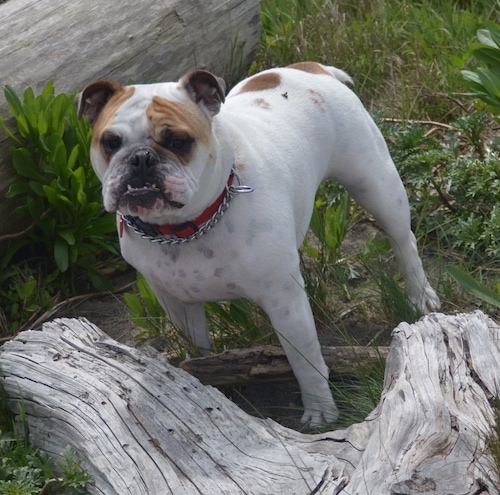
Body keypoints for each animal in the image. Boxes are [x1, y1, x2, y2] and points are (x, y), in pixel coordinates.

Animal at [76, 62, 440, 426]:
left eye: (178, 141)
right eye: (110, 142)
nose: (140, 158)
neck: (184, 227)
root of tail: (311, 67)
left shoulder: (286, 304)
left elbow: (304, 360)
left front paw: (320, 410)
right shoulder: (176, 302)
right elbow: (198, 347)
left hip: (376, 184)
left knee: (403, 240)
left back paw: (420, 295)